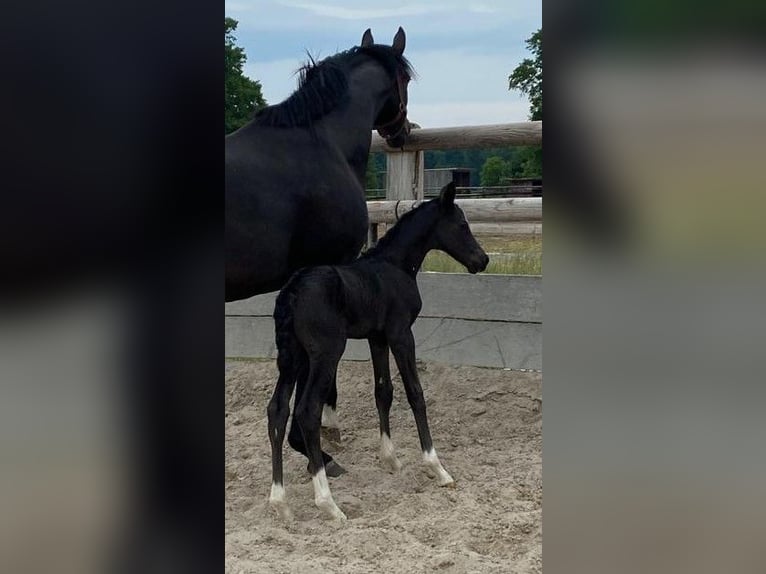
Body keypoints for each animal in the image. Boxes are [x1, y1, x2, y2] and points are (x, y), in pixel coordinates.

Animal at [268, 183, 488, 520]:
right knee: (308, 411)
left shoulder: (378, 338)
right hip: (325, 355)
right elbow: (414, 393)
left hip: (292, 357)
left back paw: (280, 502)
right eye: (462, 225)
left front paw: (390, 459)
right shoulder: (401, 334)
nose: (483, 260)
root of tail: (292, 290)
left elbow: (383, 391)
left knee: (277, 410)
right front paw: (437, 468)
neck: (394, 266)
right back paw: (329, 504)